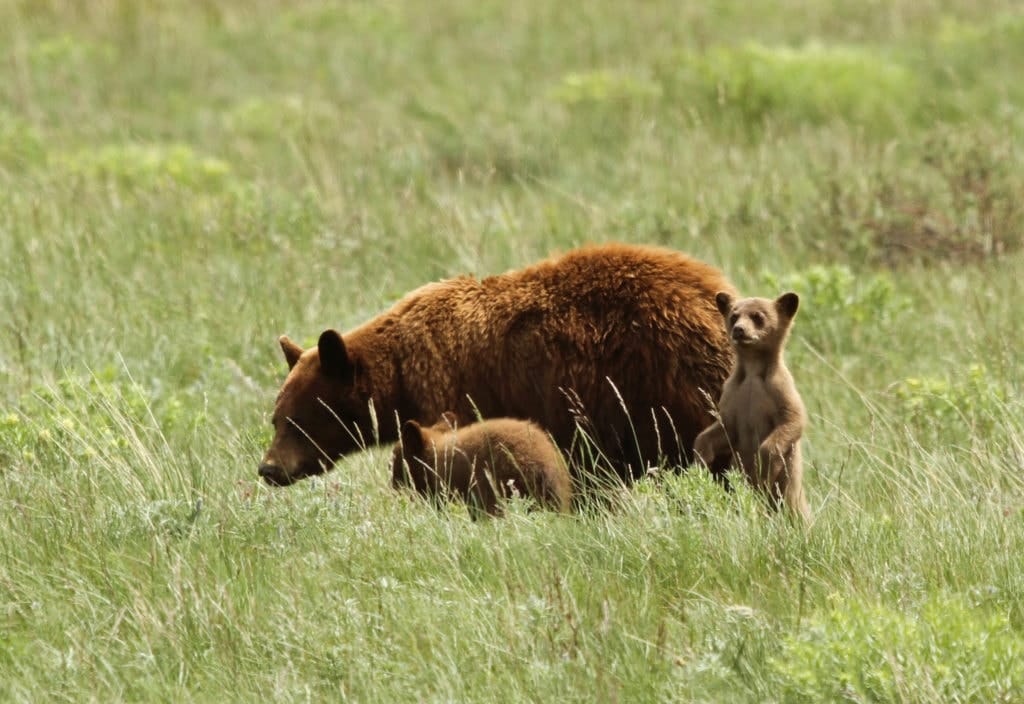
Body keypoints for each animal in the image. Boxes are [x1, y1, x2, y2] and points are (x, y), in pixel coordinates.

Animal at [258, 242, 736, 487]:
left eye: (298, 421)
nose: (269, 469)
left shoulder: (450, 391)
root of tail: (714, 293)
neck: (399, 376)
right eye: (276, 418)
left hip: (666, 382)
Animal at [692, 291, 809, 519]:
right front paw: (700, 460)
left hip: (790, 489)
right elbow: (722, 429)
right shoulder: (732, 394)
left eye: (757, 316)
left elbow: (792, 420)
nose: (739, 330)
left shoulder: (780, 389)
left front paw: (763, 466)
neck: (753, 371)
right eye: (734, 316)